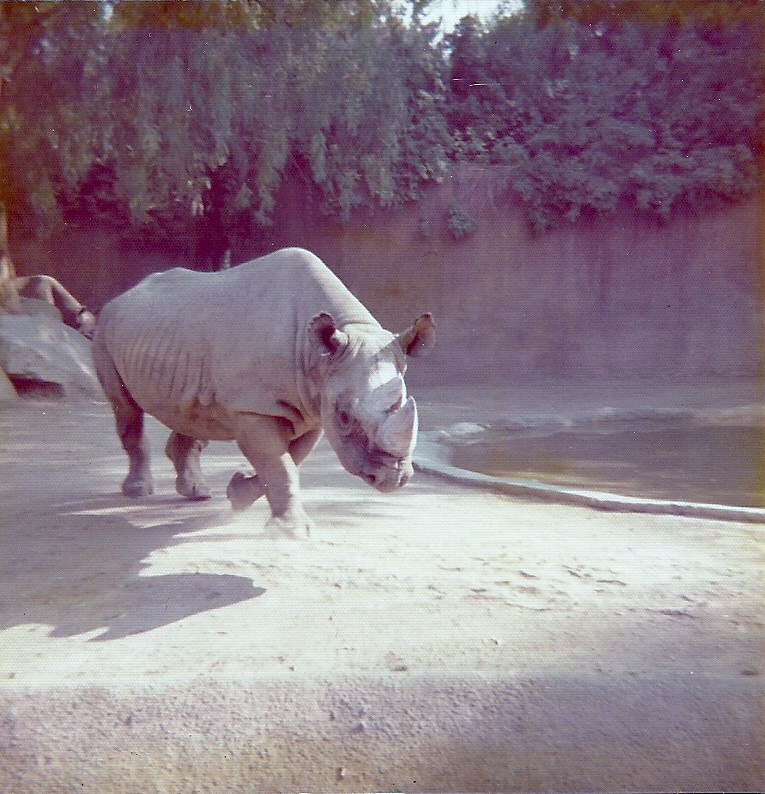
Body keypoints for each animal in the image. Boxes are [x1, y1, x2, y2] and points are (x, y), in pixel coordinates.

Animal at [92, 247, 435, 538]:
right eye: (345, 416)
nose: (393, 478)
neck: (319, 356)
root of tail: (120, 297)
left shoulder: (311, 407)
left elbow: (289, 459)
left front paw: (237, 494)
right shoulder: (254, 407)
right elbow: (278, 463)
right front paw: (293, 533)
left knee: (187, 411)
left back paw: (197, 492)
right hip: (106, 329)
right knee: (126, 408)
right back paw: (138, 491)